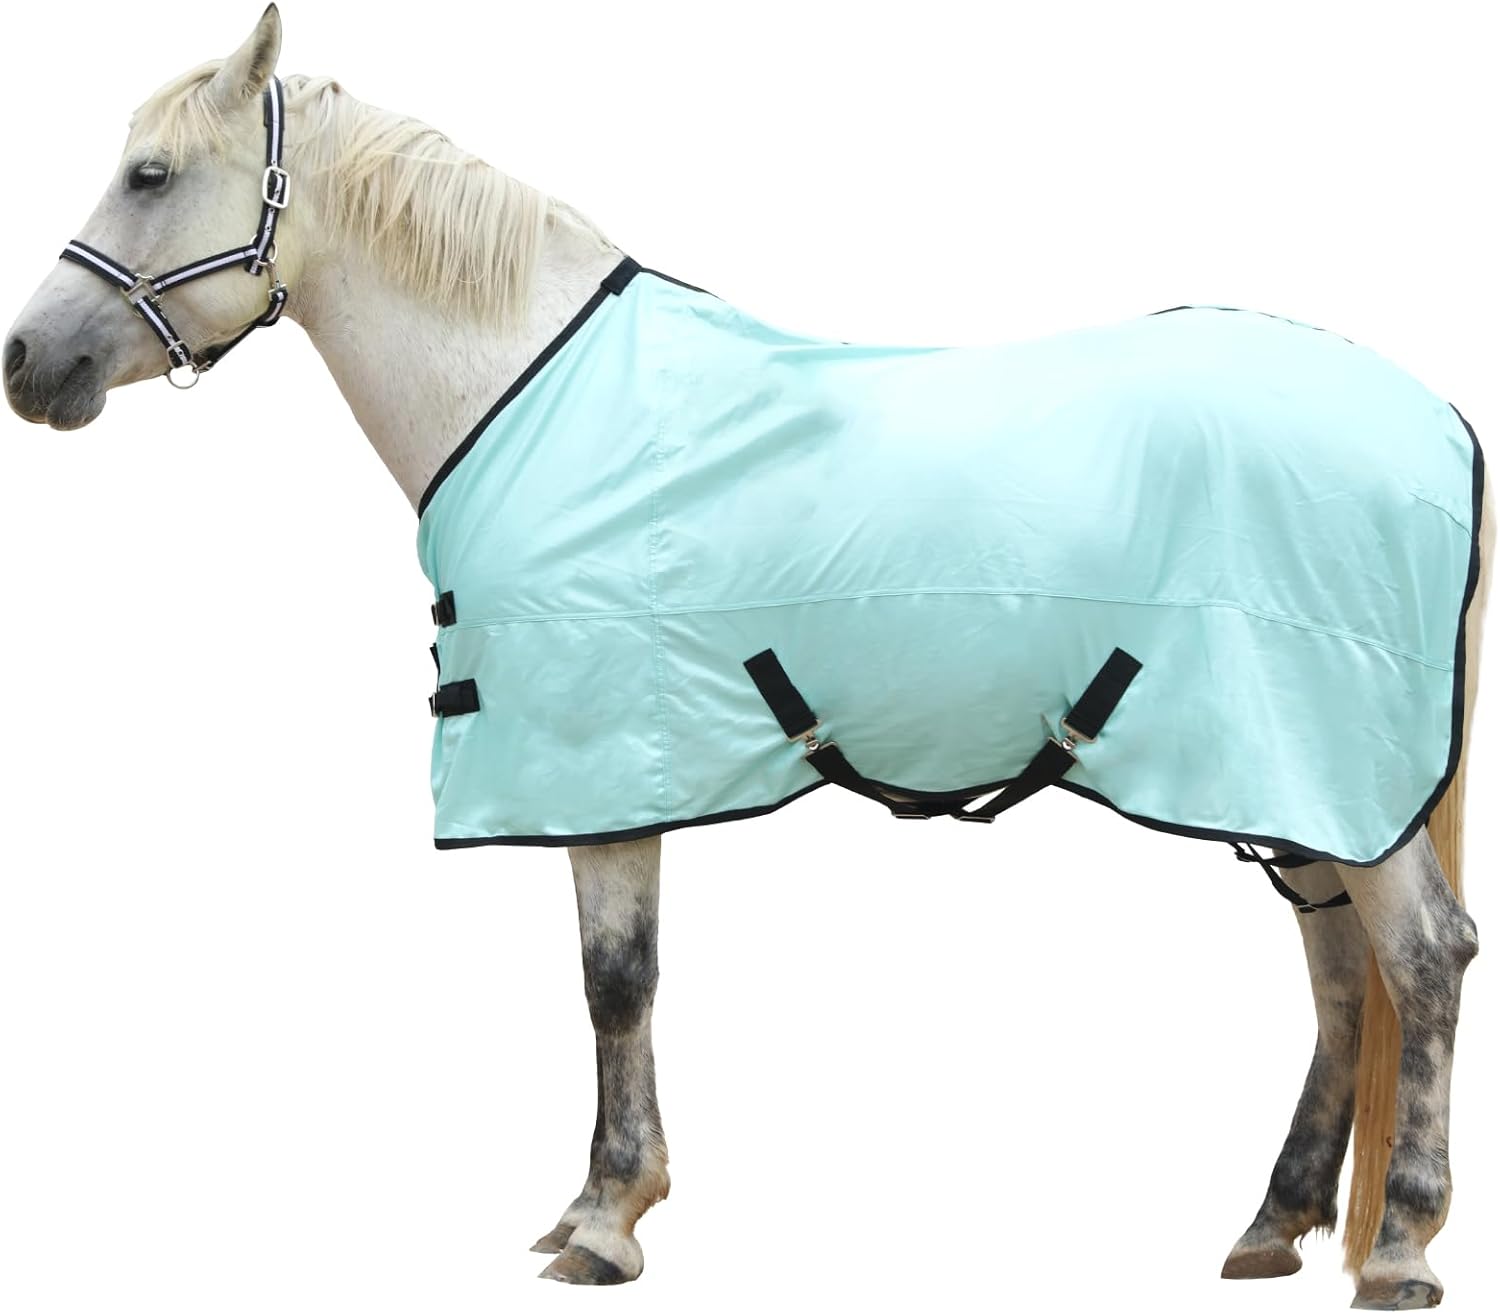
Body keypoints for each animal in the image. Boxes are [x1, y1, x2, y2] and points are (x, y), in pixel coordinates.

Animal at [3, 8, 1490, 1307]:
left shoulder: (602, 759)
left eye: (149, 175)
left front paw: (606, 1221)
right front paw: (601, 1201)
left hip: (1326, 766)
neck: (532, 390)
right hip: (1290, 778)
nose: (28, 363)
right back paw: (1275, 1221)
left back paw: (1401, 1247)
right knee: (1339, 966)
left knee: (1422, 957)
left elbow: (616, 980)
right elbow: (618, 976)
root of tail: (1437, 420)